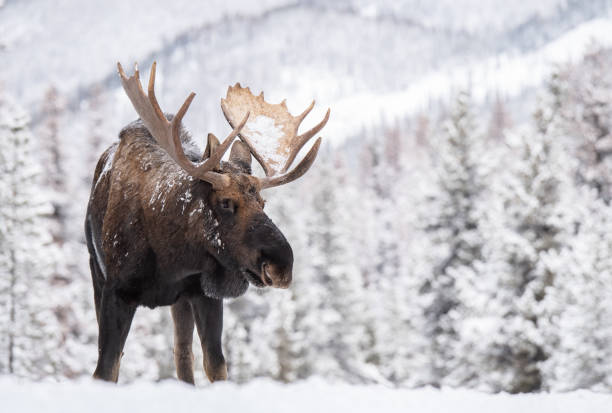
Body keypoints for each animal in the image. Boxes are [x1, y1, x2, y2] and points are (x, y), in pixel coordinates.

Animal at [85, 62, 330, 384]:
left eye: (263, 203)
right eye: (225, 202)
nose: (281, 265)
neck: (169, 257)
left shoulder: (203, 294)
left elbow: (216, 365)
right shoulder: (115, 291)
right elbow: (105, 369)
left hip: (181, 302)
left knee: (182, 356)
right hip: (96, 270)